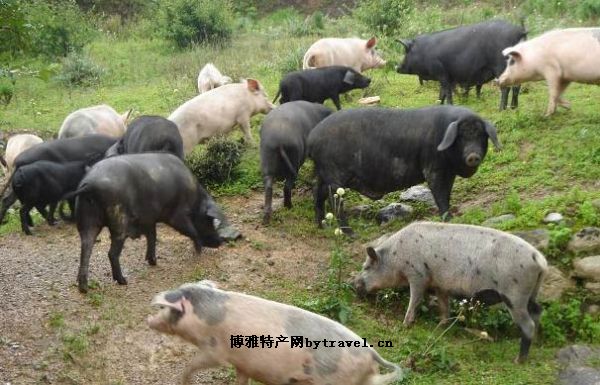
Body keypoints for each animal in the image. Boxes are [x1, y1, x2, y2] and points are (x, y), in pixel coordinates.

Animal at [148, 280, 406, 384]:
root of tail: (371, 352)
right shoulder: (243, 364)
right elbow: (241, 380)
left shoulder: (215, 351)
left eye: (167, 308)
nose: (148, 319)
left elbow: (192, 364)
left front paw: (184, 381)